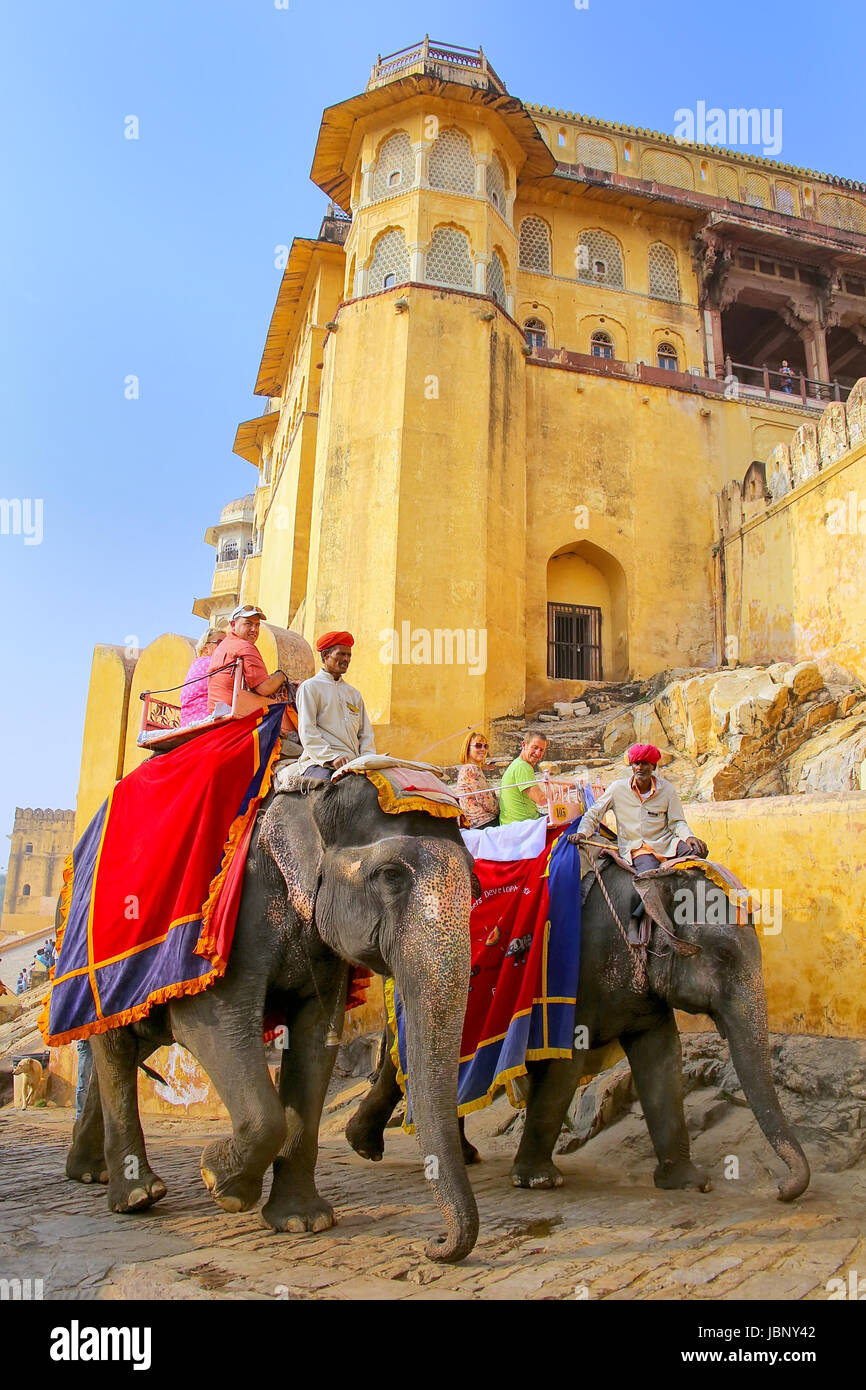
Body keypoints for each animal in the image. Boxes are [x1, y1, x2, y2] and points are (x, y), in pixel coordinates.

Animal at [66, 778, 480, 1267]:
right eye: (390, 876)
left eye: (475, 883)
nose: (432, 1244)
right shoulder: (238, 912)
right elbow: (209, 1021)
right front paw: (219, 1181)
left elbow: (318, 1036)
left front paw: (303, 1221)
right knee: (113, 1044)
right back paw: (138, 1197)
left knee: (130, 1046)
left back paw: (89, 1173)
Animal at [346, 850, 811, 1200]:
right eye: (725, 956)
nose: (781, 1189)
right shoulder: (573, 975)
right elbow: (564, 1067)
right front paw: (538, 1181)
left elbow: (662, 1059)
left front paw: (690, 1184)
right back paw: (367, 1148)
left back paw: (439, 1153)